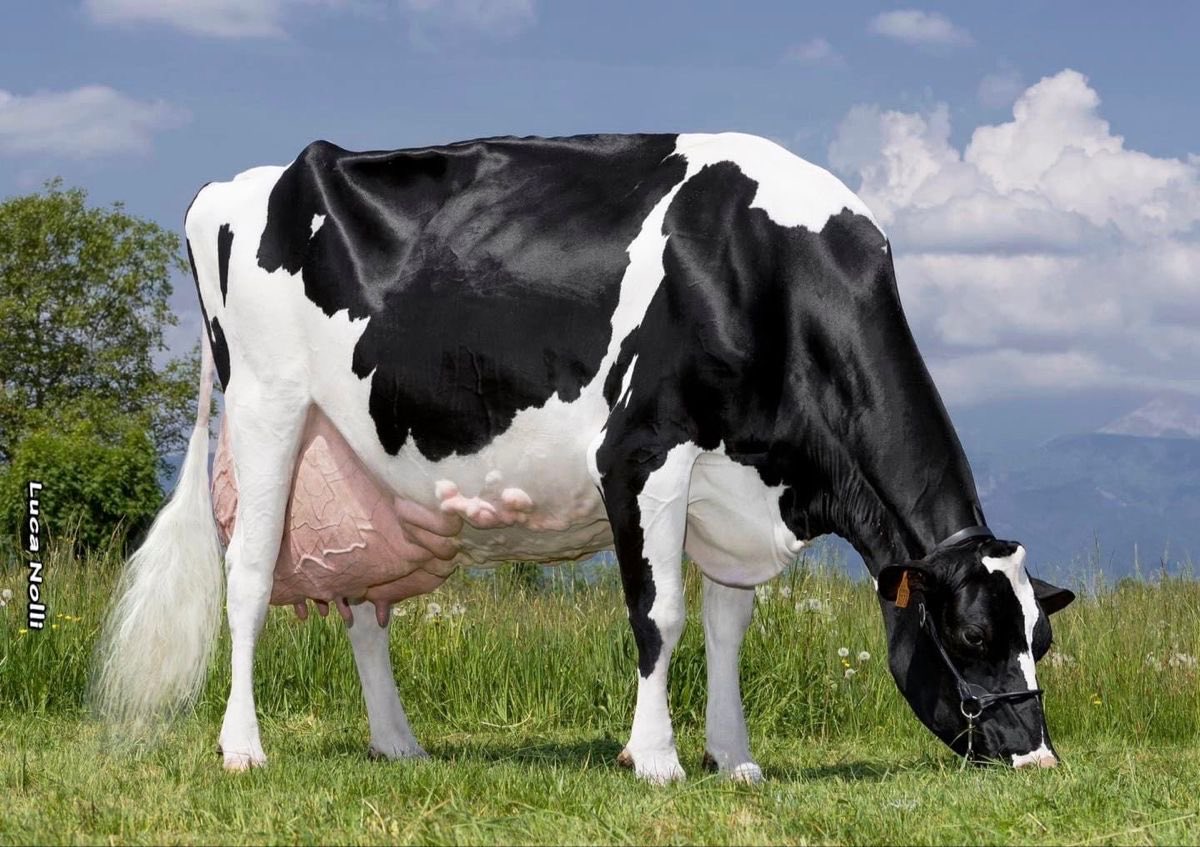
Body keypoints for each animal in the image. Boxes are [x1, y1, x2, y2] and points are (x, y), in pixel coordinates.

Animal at [95, 132, 1075, 782]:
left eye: (1043, 636)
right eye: (972, 635)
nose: (1038, 754)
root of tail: (245, 179)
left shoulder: (738, 486)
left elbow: (728, 624)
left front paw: (734, 756)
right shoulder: (643, 452)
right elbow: (661, 615)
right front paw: (656, 757)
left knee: (366, 611)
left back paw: (399, 743)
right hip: (268, 404)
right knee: (250, 577)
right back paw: (242, 746)